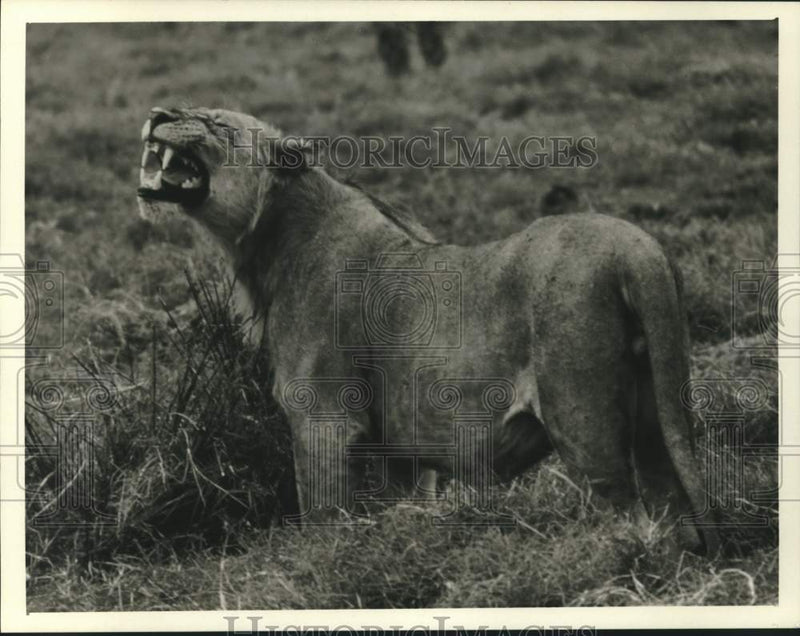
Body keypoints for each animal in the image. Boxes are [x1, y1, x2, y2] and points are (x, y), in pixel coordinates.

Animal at [137, 106, 719, 554]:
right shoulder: (401, 449)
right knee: (675, 509)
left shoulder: (323, 419)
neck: (266, 244)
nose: (159, 113)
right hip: (656, 411)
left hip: (583, 419)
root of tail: (638, 248)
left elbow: (322, 514)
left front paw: (320, 564)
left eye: (215, 121)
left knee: (632, 515)